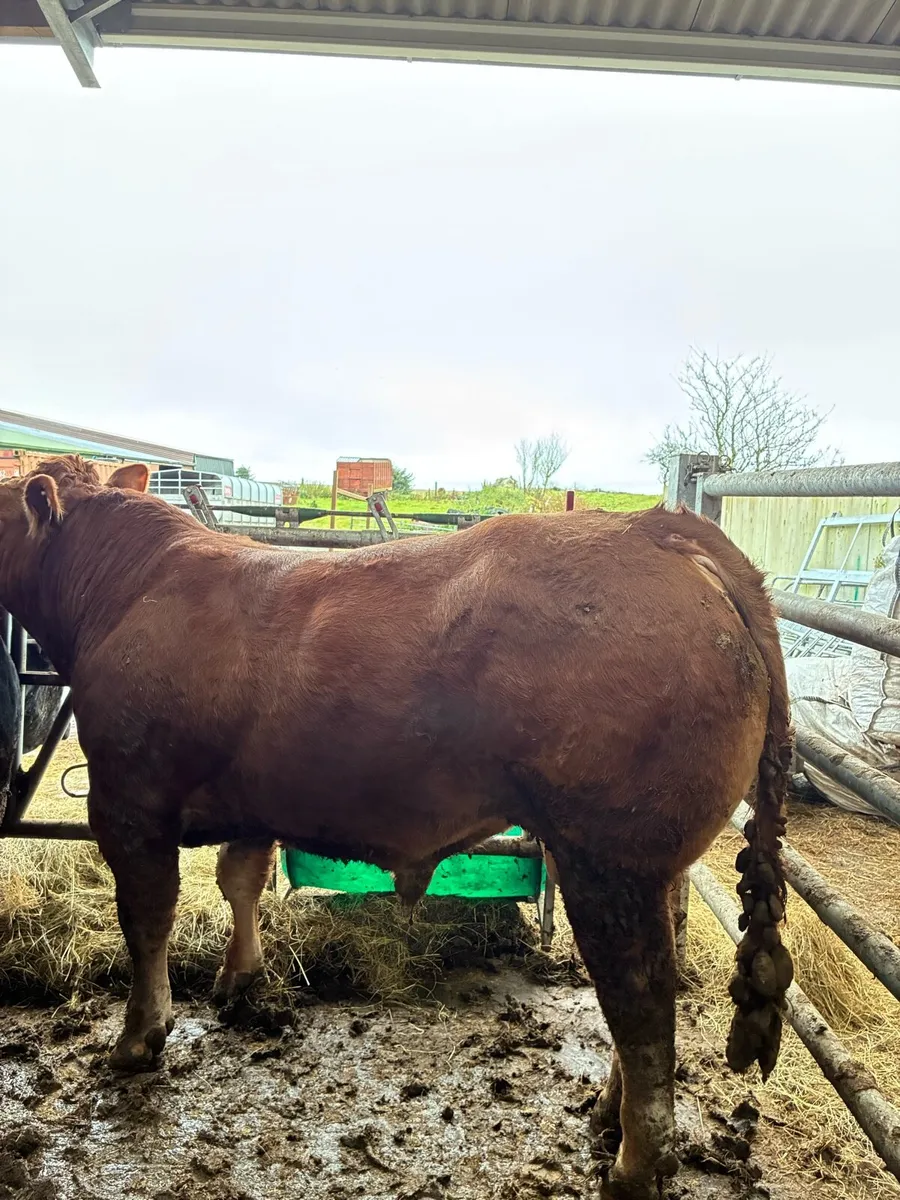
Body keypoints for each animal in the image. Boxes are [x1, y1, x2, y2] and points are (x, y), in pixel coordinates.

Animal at [0, 455, 793, 1200]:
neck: (127, 587)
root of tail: (652, 529)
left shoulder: (128, 801)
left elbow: (147, 921)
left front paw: (140, 1036)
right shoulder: (249, 797)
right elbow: (239, 880)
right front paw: (239, 979)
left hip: (608, 859)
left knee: (640, 1001)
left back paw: (633, 1165)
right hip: (650, 868)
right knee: (649, 994)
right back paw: (606, 1115)